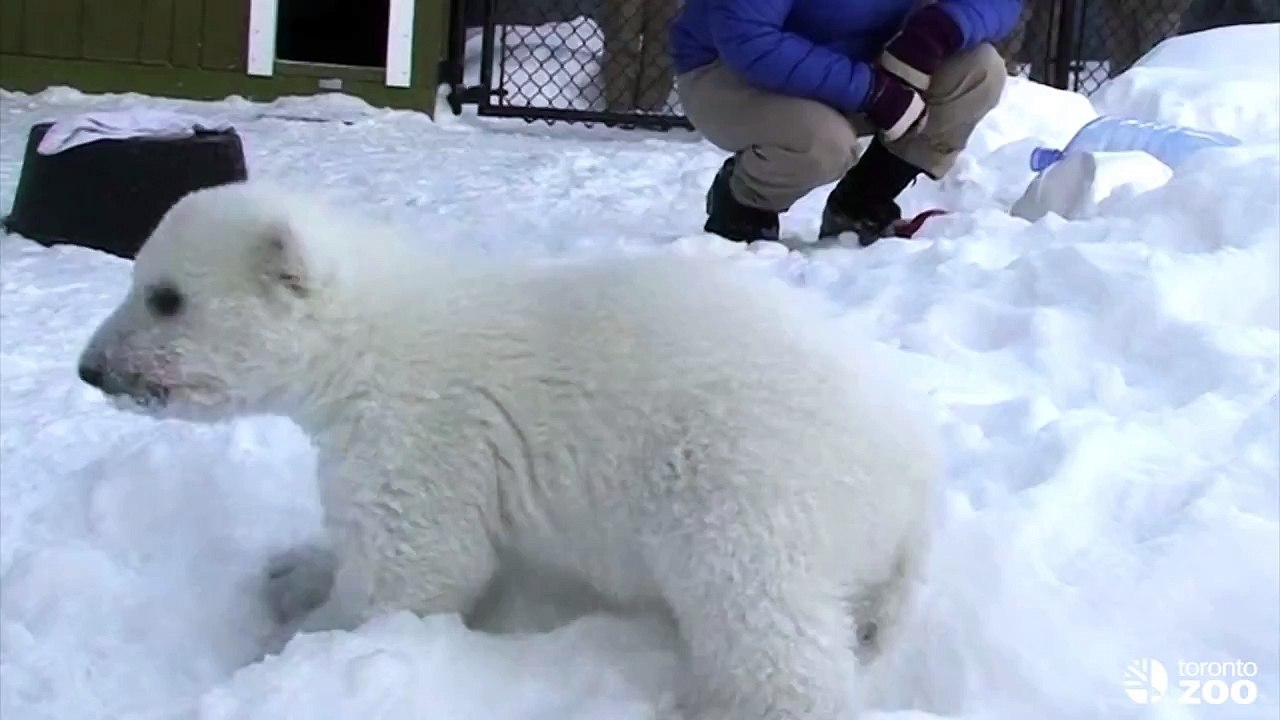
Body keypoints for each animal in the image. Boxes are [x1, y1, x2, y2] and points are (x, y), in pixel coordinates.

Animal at [75, 180, 942, 720]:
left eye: (165, 298)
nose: (90, 369)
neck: (367, 343)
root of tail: (912, 486)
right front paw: (293, 571)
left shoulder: (422, 433)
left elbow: (419, 571)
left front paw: (292, 647)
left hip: (747, 479)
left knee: (761, 616)